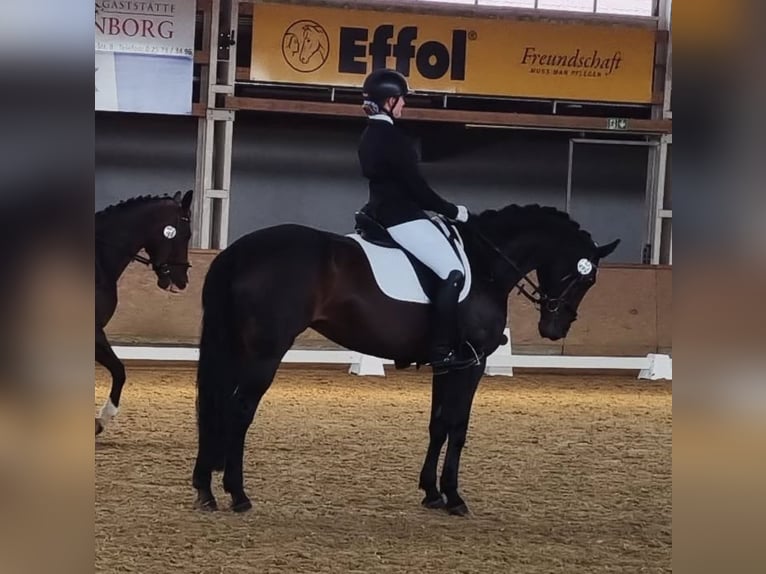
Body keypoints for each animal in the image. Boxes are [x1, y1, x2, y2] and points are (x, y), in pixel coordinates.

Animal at [191, 203, 620, 515]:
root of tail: (239, 252)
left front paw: (431, 492)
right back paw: (238, 495)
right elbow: (458, 426)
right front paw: (454, 497)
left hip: (237, 347)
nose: (555, 328)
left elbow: (438, 424)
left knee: (216, 407)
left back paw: (205, 491)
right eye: (587, 277)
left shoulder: (449, 364)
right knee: (239, 412)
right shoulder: (474, 362)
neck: (485, 265)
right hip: (265, 351)